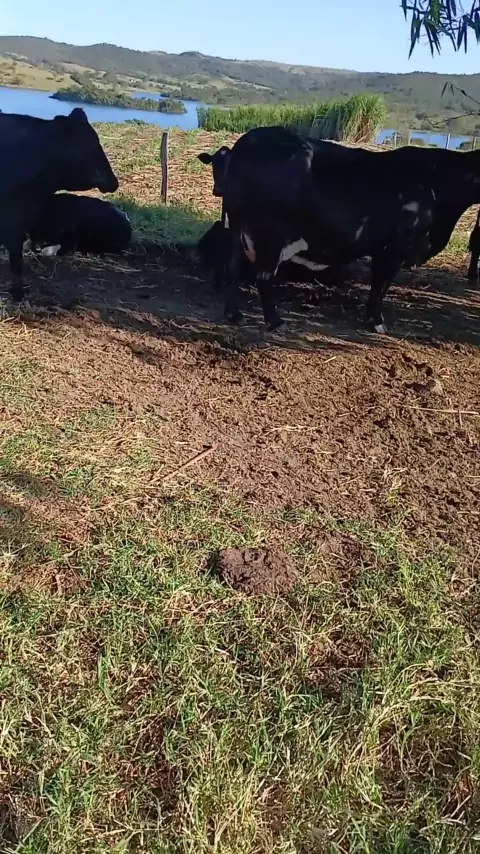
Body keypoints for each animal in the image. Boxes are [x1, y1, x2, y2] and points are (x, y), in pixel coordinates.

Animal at [220, 126, 480, 332]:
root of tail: (247, 142)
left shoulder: (382, 248)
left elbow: (377, 284)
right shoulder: (396, 247)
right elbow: (382, 285)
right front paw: (377, 322)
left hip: (237, 229)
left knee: (232, 269)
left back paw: (234, 315)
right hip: (269, 235)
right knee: (263, 277)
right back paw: (275, 322)